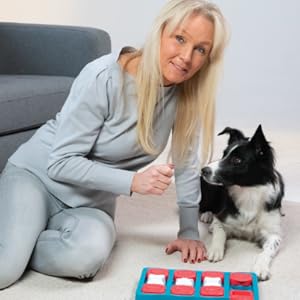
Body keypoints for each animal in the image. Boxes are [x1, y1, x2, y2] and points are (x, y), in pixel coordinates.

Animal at [199, 125, 284, 282]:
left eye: (237, 160)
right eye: (223, 154)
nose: (203, 170)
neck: (248, 192)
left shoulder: (274, 234)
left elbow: (268, 250)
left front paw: (261, 267)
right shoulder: (222, 219)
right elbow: (219, 232)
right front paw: (215, 249)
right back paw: (207, 215)